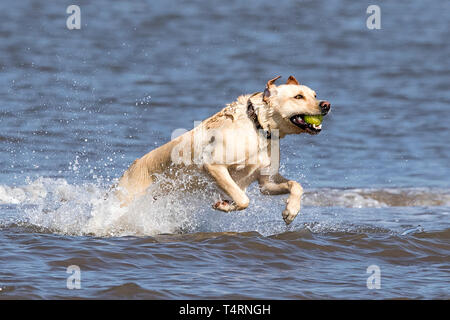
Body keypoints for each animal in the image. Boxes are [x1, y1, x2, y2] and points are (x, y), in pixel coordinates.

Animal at [114, 76, 328, 224]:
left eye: (315, 95)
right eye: (298, 96)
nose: (326, 105)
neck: (258, 126)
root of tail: (128, 170)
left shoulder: (266, 182)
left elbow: (296, 185)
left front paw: (291, 211)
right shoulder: (213, 166)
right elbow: (243, 199)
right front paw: (225, 205)